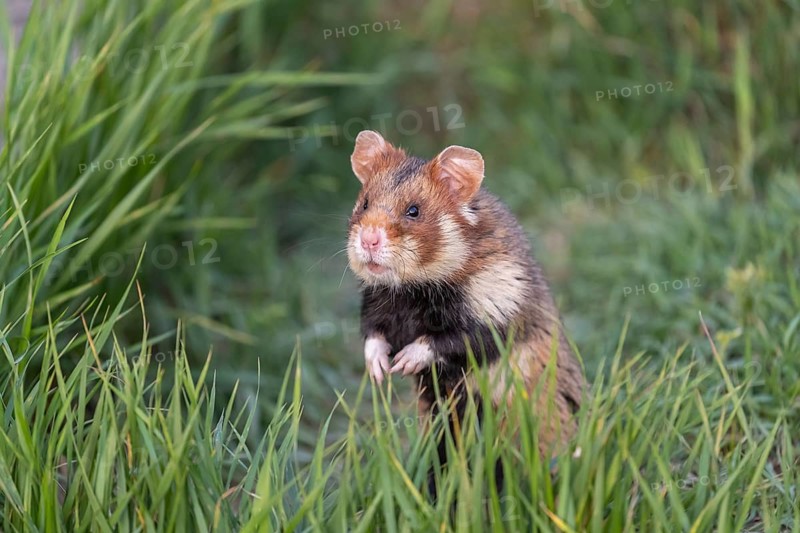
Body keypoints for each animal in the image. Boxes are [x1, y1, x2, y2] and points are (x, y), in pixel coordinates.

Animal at [346, 130, 586, 458]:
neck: (413, 289)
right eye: (364, 203)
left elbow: (450, 341)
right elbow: (373, 334)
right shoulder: (376, 302)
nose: (369, 240)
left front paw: (404, 362)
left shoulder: (498, 310)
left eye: (414, 211)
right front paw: (380, 371)